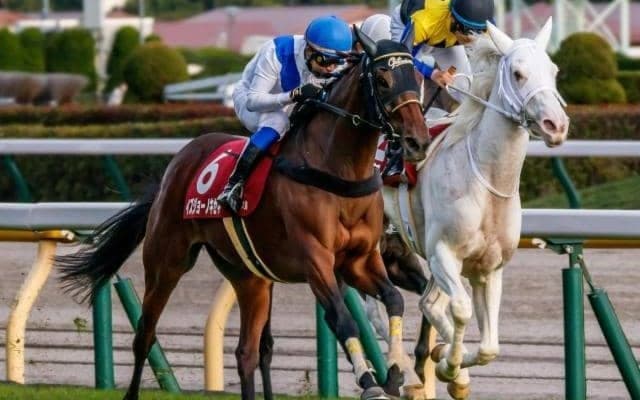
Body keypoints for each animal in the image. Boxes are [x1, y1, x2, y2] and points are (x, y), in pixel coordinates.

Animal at [55, 29, 430, 400]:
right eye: (382, 78)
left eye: (415, 77)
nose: (418, 141)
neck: (337, 169)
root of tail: (175, 165)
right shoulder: (316, 259)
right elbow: (342, 318)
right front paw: (370, 383)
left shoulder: (360, 260)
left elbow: (394, 300)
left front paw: (396, 374)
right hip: (166, 262)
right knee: (145, 335)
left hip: (249, 276)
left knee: (248, 351)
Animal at [379, 19, 569, 399]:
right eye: (518, 73)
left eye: (554, 71)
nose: (556, 126)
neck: (484, 180)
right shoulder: (442, 253)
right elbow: (460, 308)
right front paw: (449, 365)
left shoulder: (489, 267)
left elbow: (488, 346)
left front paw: (451, 367)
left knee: (425, 302)